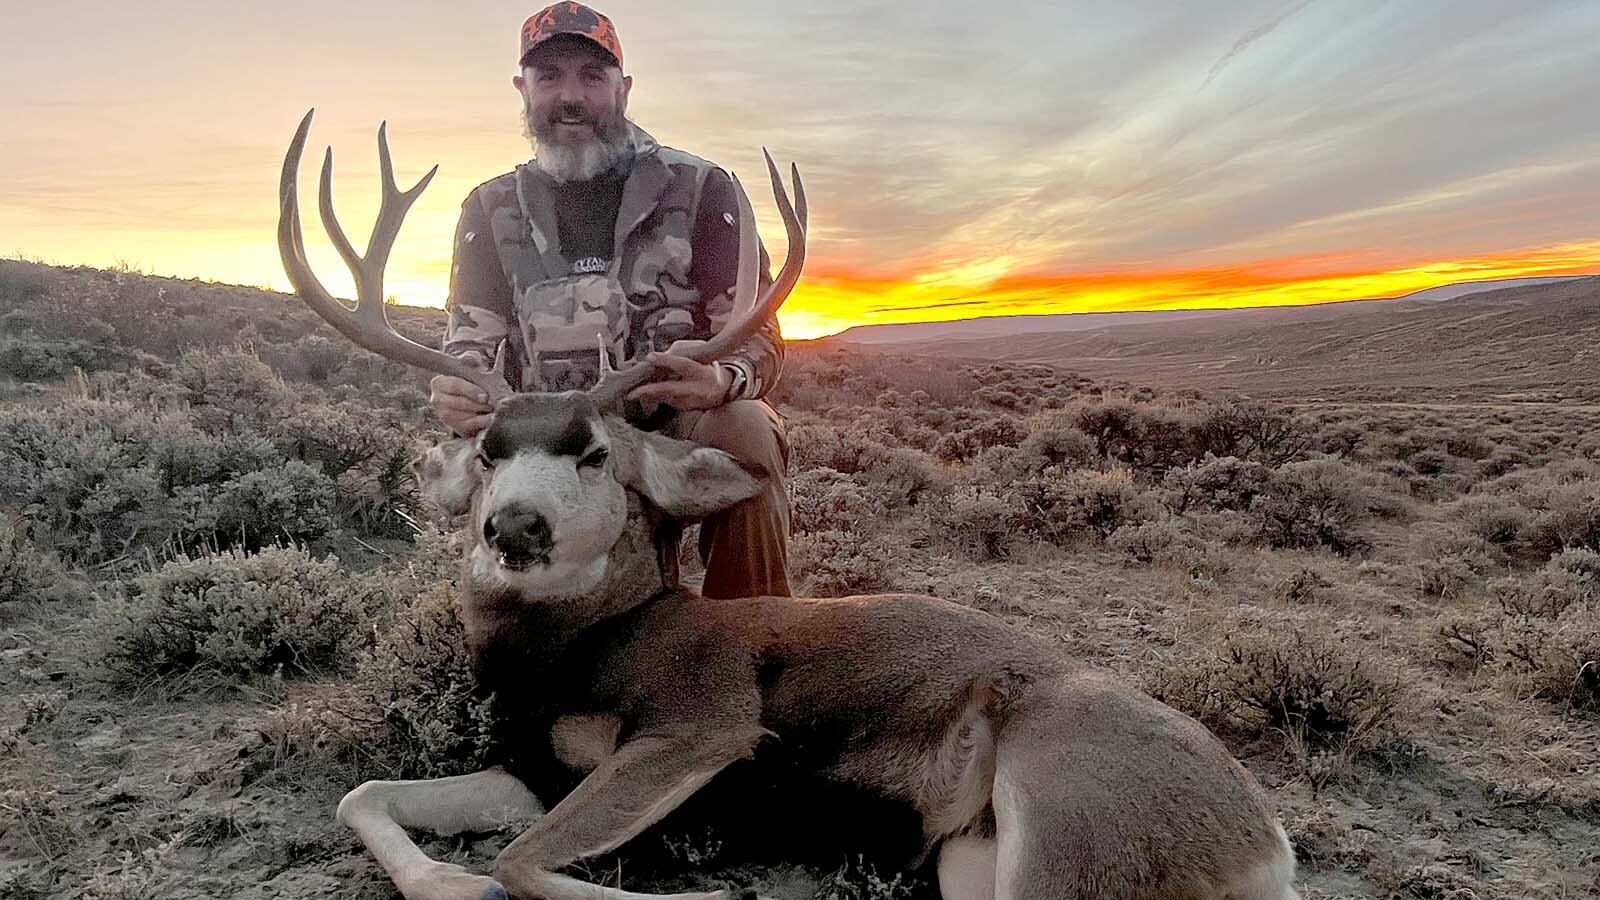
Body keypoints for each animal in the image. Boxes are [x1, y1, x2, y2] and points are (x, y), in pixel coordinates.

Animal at [277, 109, 1300, 900]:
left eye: (597, 453)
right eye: (489, 452)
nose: (514, 526)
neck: (576, 653)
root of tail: (1269, 846)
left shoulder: (702, 720)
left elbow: (520, 863)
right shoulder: (530, 766)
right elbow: (366, 796)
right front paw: (451, 873)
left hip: (1065, 816)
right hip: (970, 861)